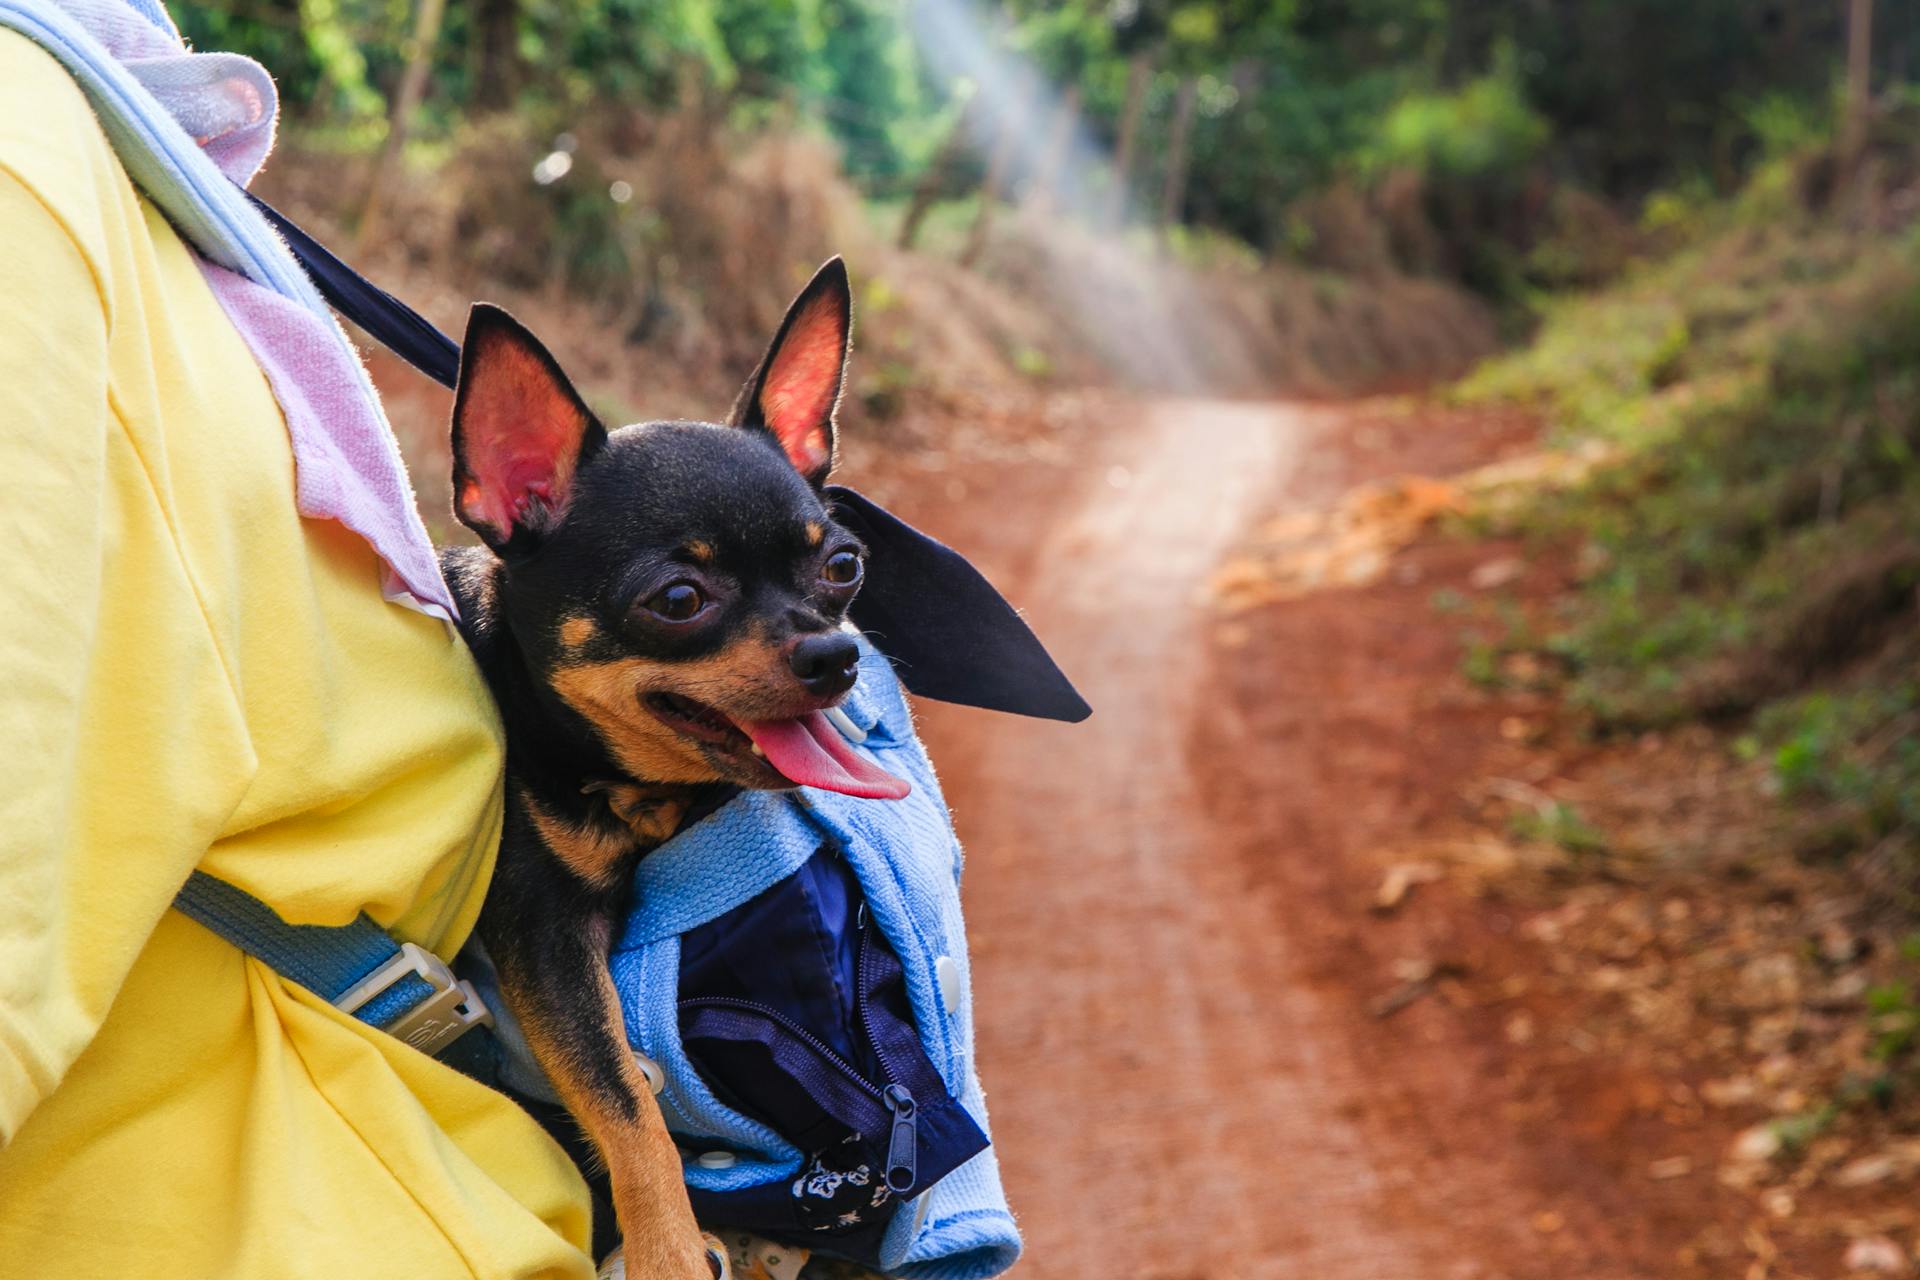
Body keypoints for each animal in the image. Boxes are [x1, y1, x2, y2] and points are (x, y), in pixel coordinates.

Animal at [441, 262, 906, 1280]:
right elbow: (627, 1100)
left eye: (845, 566)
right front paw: (669, 1249)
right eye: (680, 599)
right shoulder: (545, 939)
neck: (637, 794)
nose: (838, 654)